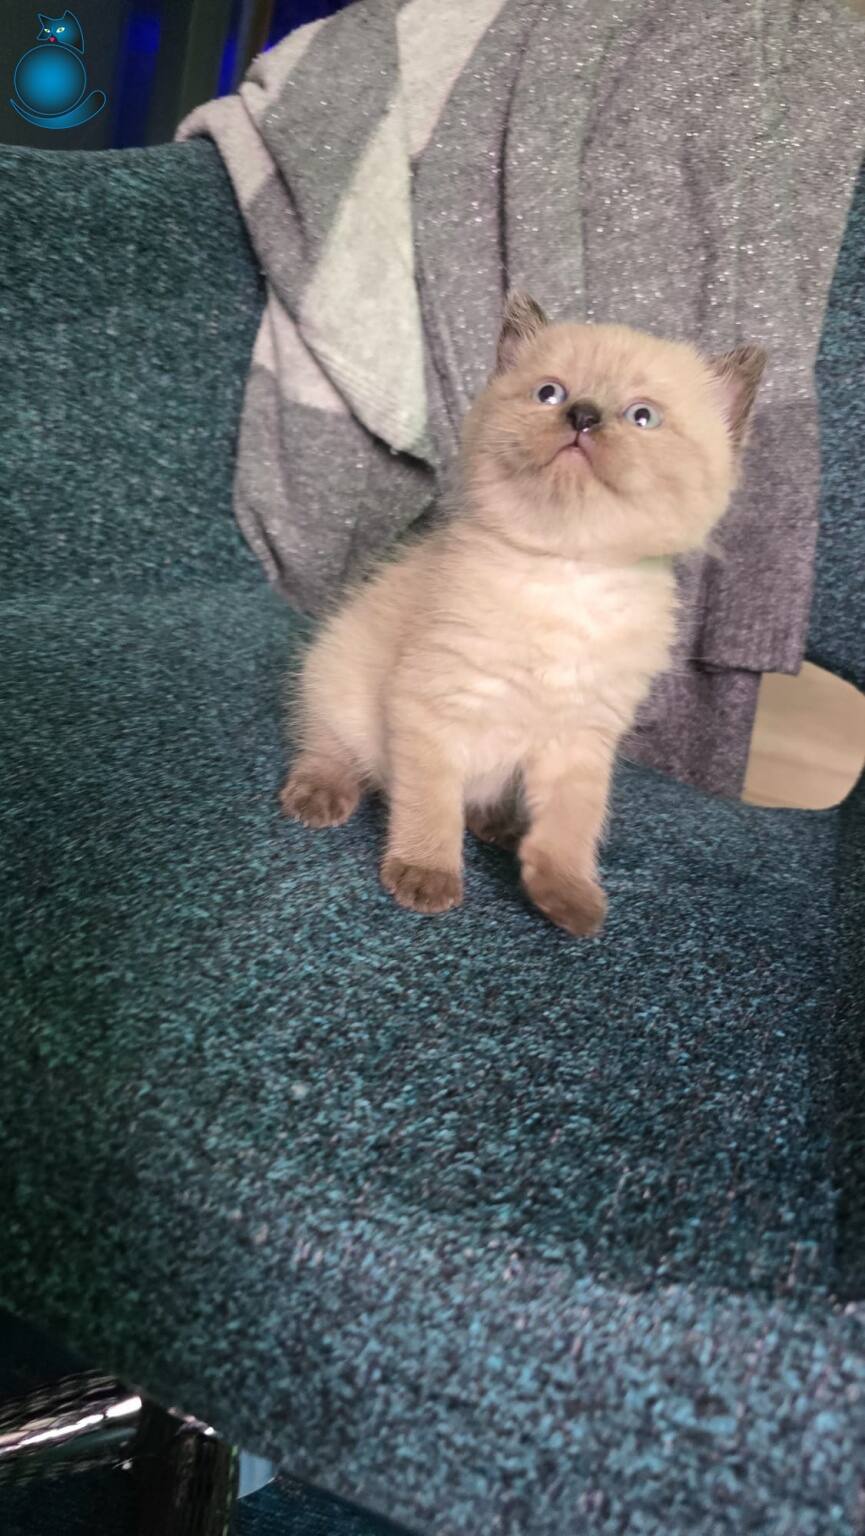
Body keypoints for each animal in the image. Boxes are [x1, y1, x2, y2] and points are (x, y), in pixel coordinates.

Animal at [280, 292, 765, 937]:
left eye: (642, 417)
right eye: (550, 394)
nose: (583, 416)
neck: (567, 573)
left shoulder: (582, 738)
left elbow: (572, 826)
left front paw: (568, 898)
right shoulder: (432, 707)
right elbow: (430, 804)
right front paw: (426, 875)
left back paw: (502, 826)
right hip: (336, 676)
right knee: (330, 746)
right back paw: (320, 796)